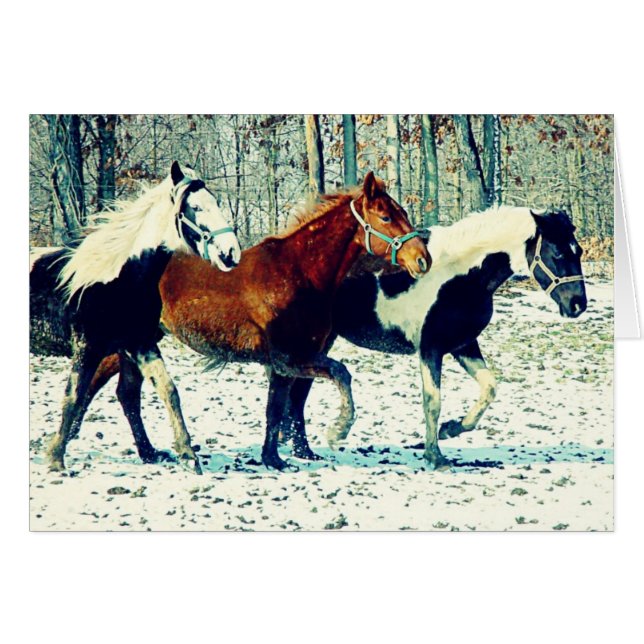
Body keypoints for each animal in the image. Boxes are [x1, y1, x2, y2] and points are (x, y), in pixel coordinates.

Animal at [30, 162, 241, 474]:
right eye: (195, 207)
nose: (230, 253)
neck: (116, 277)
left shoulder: (139, 344)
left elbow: (167, 390)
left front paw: (185, 455)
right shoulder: (87, 347)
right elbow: (73, 396)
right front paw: (56, 459)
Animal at [65, 172, 431, 471]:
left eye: (403, 213)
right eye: (386, 216)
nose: (422, 259)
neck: (298, 273)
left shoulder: (286, 363)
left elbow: (276, 408)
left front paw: (273, 458)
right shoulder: (289, 357)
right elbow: (338, 376)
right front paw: (337, 429)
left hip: (138, 342)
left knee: (126, 393)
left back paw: (147, 452)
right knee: (102, 384)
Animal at [279, 206, 588, 470]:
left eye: (579, 251)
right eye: (558, 253)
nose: (578, 305)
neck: (459, 274)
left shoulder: (464, 345)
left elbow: (489, 388)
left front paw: (451, 429)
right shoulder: (431, 348)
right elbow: (433, 401)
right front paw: (434, 456)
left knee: (298, 390)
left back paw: (301, 450)